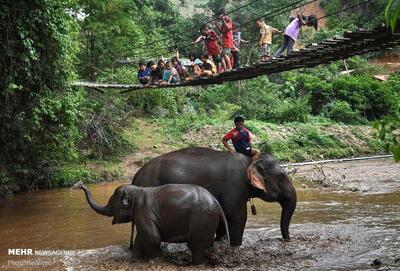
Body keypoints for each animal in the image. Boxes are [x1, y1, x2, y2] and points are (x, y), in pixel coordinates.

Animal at [73, 182, 230, 264]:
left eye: (111, 204)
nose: (78, 185)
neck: (136, 190)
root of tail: (216, 201)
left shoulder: (144, 213)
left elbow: (153, 238)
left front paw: (153, 260)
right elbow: (140, 238)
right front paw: (134, 261)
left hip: (202, 219)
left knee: (195, 245)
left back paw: (192, 264)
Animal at [131, 148, 296, 248]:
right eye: (281, 177)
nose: (287, 239)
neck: (249, 160)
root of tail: (135, 177)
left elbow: (222, 217)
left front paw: (219, 241)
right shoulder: (234, 186)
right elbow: (237, 217)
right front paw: (236, 246)